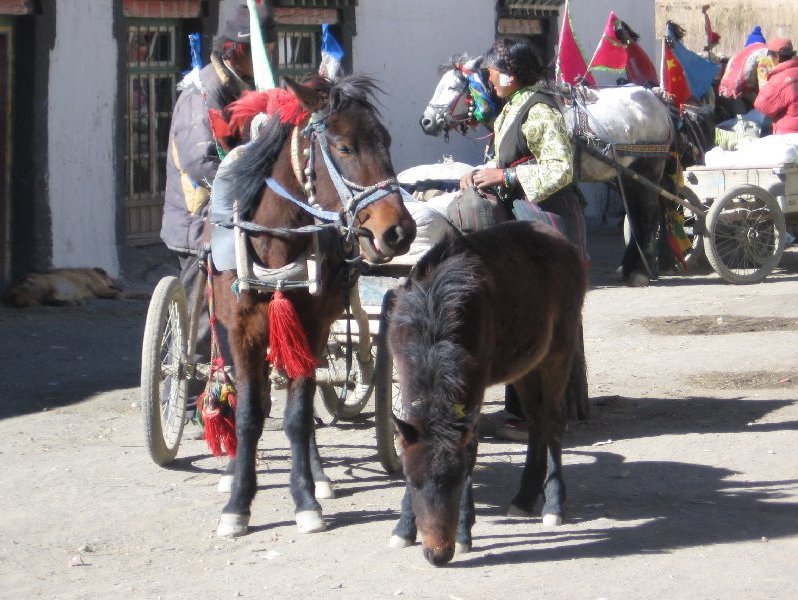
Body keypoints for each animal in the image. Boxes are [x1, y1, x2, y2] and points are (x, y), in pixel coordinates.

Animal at [214, 72, 418, 536]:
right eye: (344, 148)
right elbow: (249, 415)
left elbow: (298, 415)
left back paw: (319, 476)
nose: (399, 231)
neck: (275, 248)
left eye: (386, 140)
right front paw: (238, 503)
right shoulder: (241, 332)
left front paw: (305, 498)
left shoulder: (309, 328)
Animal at [388, 221, 588, 568]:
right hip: (525, 365)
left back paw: (553, 506)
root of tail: (562, 240)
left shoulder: (474, 386)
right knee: (536, 420)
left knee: (553, 420)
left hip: (558, 351)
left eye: (457, 480)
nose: (438, 554)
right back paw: (524, 497)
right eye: (412, 481)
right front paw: (403, 528)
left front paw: (464, 533)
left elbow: (471, 451)